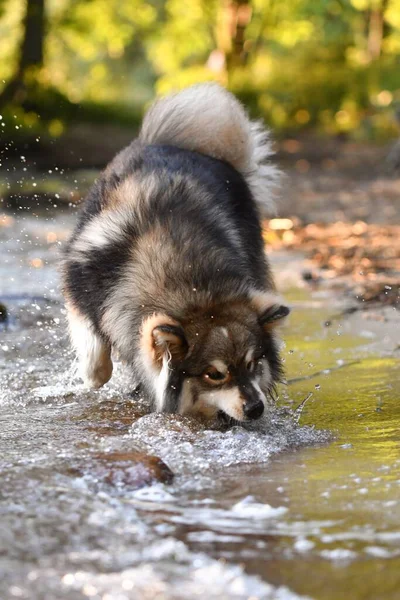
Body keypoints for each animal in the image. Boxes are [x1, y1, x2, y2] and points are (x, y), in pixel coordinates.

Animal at [61, 83, 290, 422]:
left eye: (252, 364)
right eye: (214, 374)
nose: (256, 408)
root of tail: (171, 143)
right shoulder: (80, 286)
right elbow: (97, 362)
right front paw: (92, 377)